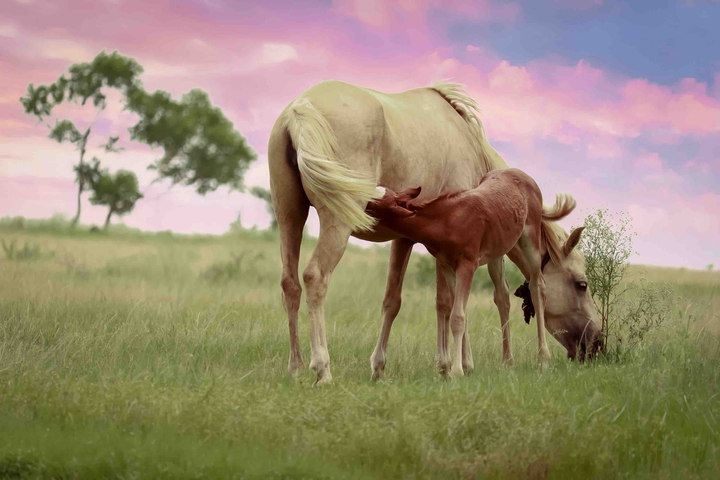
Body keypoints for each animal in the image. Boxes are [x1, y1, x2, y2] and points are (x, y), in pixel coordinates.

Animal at [366, 168, 588, 377]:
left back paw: (543, 360)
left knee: (537, 286)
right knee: (504, 294)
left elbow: (458, 317)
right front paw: (465, 367)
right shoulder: (447, 265)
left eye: (373, 203)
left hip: (529, 239)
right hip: (499, 249)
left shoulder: (468, 263)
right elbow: (457, 311)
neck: (445, 221)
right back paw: (509, 362)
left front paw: (456, 372)